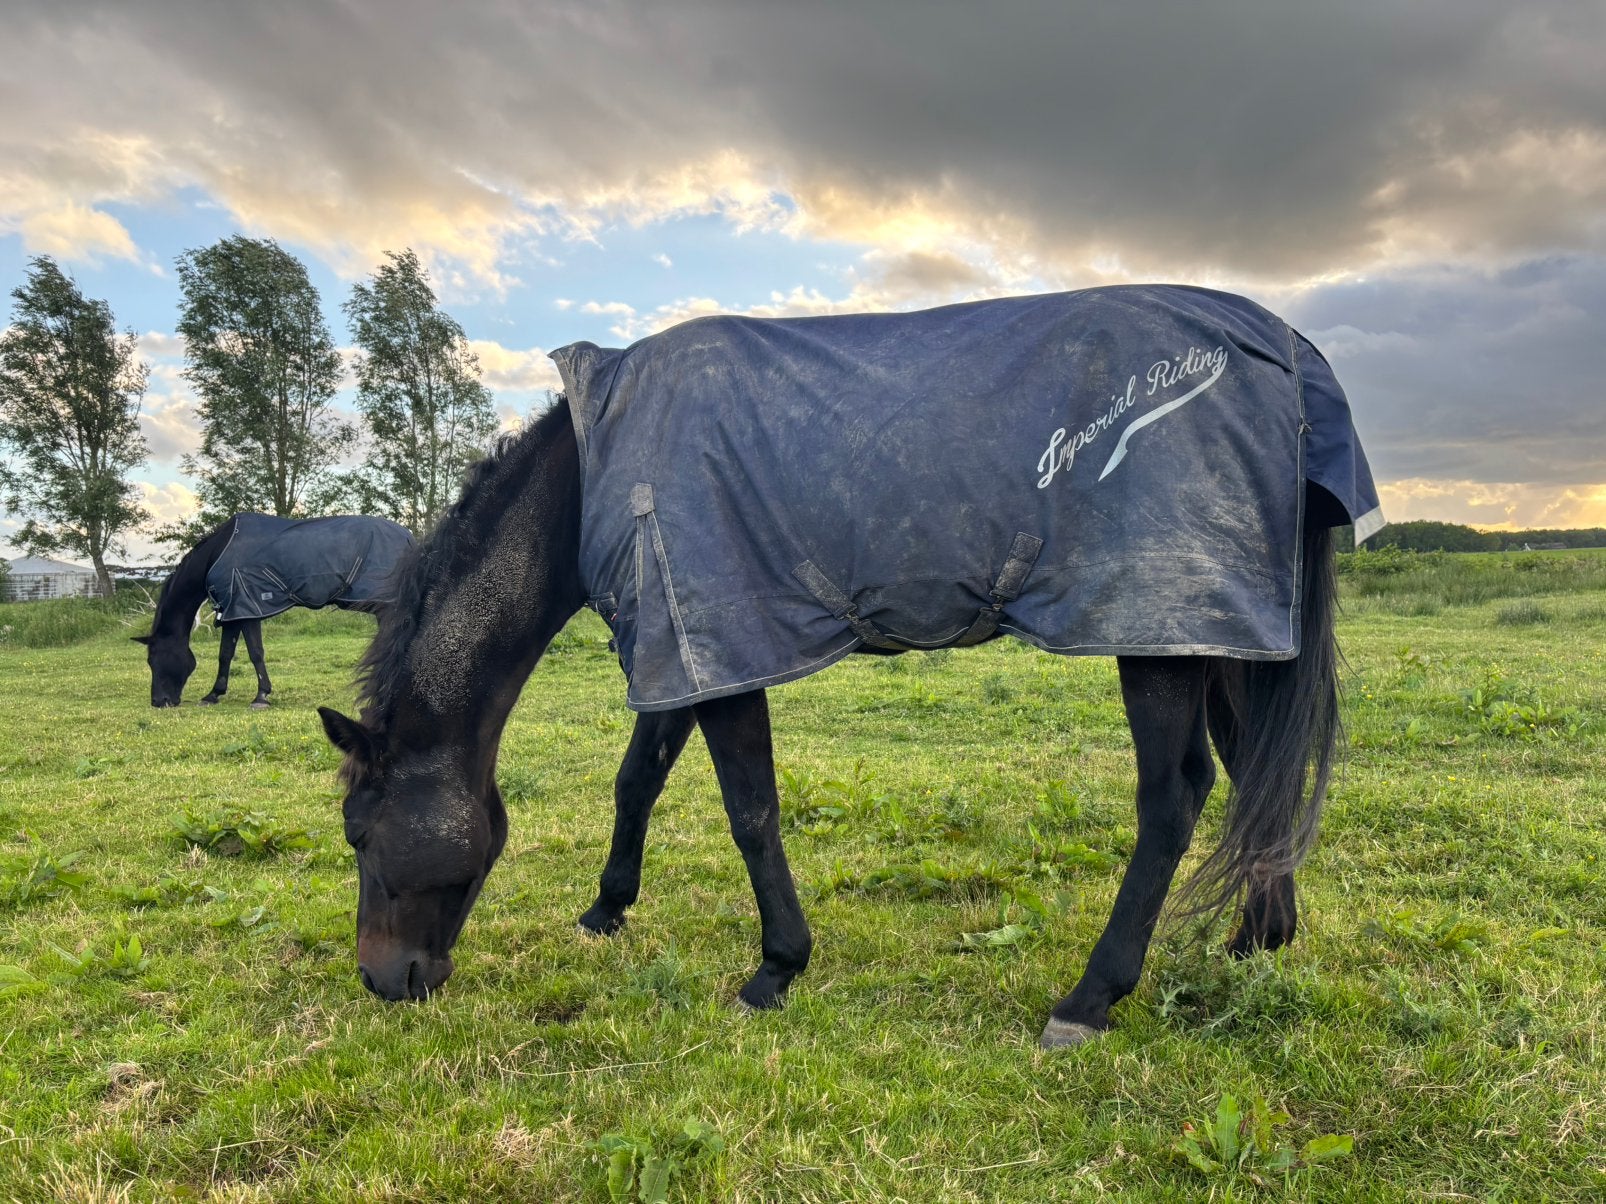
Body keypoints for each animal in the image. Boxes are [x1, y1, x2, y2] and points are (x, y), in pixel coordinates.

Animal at [136, 512, 414, 708]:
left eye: (154, 659)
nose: (159, 701)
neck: (219, 554)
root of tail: (409, 537)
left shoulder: (248, 608)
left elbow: (256, 653)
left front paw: (261, 696)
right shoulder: (233, 613)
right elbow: (225, 654)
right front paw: (213, 694)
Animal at [317, 286, 1382, 1047]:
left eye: (360, 834)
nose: (382, 980)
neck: (598, 469)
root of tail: (1288, 351)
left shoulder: (720, 644)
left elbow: (750, 812)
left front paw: (775, 969)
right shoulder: (681, 646)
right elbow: (637, 782)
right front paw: (607, 908)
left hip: (1159, 632)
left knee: (1177, 797)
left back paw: (1089, 998)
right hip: (1224, 639)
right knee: (1258, 780)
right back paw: (1257, 939)